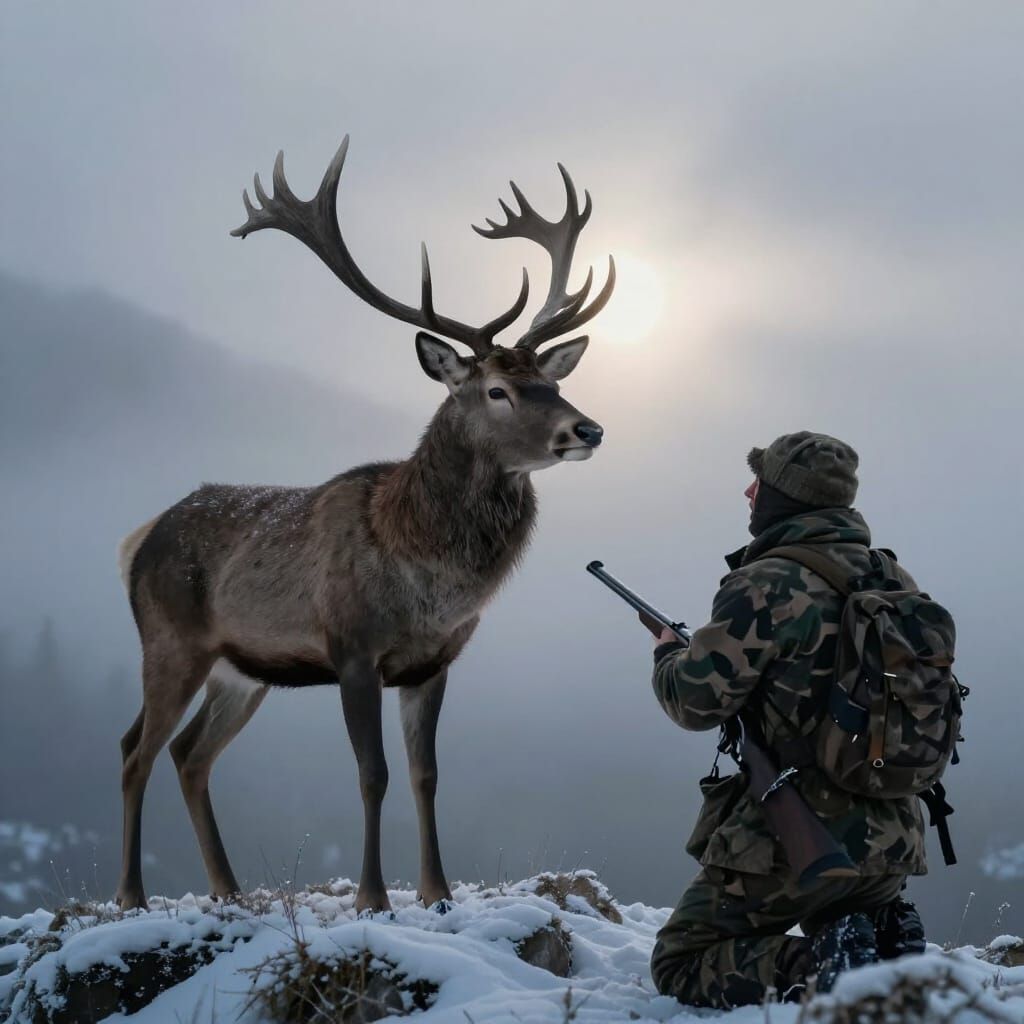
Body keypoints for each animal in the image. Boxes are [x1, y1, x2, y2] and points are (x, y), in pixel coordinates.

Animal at [115, 136, 615, 913]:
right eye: (496, 390)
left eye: (553, 381)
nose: (586, 429)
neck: (424, 572)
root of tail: (138, 539)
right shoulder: (351, 648)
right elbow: (372, 774)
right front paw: (372, 898)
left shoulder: (434, 662)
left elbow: (425, 775)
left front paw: (437, 894)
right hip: (169, 641)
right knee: (134, 751)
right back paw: (133, 897)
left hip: (240, 672)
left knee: (187, 753)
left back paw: (229, 890)